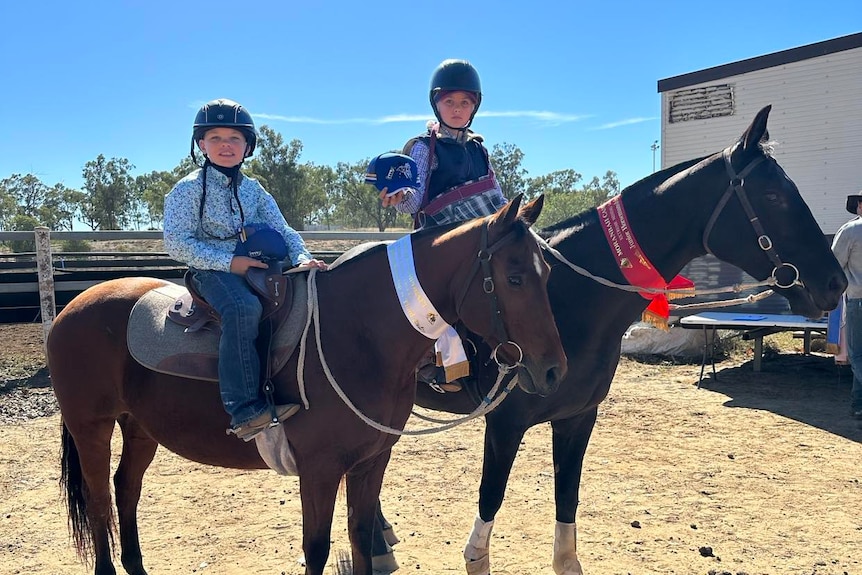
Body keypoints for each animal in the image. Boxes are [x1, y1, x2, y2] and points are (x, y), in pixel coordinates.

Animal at [50, 195, 572, 575]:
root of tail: (70, 307)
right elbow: (317, 548)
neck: (358, 333)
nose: (553, 370)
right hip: (92, 428)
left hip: (139, 427)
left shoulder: (371, 461)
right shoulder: (319, 471)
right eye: (514, 277)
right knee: (99, 502)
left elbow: (360, 536)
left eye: (547, 273)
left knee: (126, 489)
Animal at [378, 106, 852, 572]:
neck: (566, 297)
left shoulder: (578, 418)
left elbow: (567, 505)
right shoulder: (504, 424)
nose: (836, 282)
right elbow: (489, 504)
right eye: (773, 196)